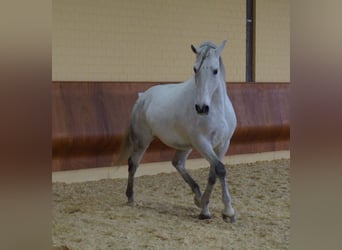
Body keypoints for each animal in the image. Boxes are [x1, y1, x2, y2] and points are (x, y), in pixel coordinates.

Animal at [119, 41, 236, 223]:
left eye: (215, 70)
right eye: (195, 69)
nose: (201, 108)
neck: (218, 109)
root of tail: (142, 96)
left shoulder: (223, 144)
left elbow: (214, 173)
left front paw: (206, 208)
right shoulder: (202, 143)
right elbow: (220, 169)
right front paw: (226, 211)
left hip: (184, 146)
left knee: (178, 163)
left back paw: (198, 197)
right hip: (142, 141)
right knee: (134, 163)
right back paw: (131, 197)